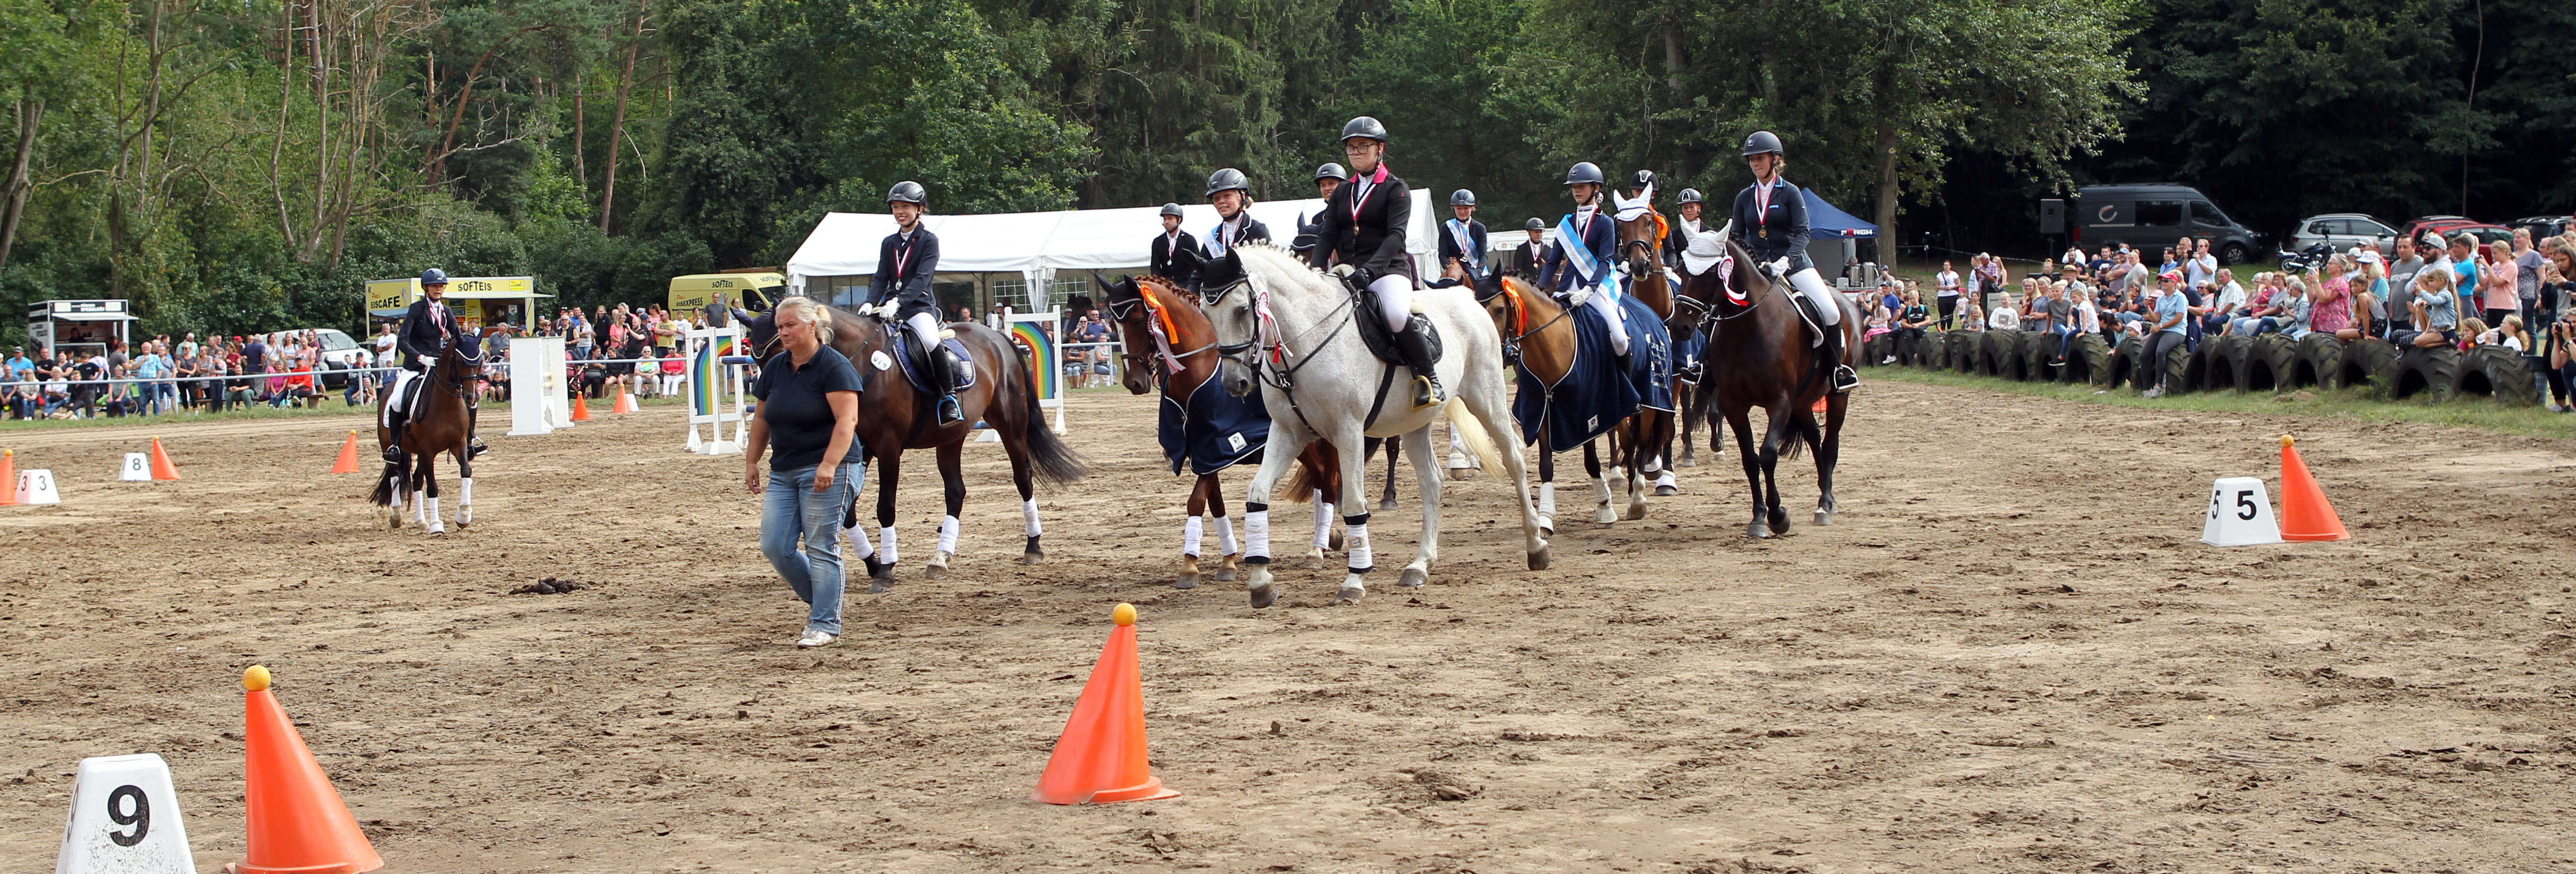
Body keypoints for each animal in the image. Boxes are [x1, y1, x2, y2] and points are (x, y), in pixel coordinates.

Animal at [368, 329, 479, 533]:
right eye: (461, 361)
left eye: (480, 361)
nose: (472, 397)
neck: (446, 404)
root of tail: (387, 388)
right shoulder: (428, 450)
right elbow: (433, 487)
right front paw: (437, 526)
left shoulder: (458, 444)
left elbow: (466, 471)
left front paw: (464, 515)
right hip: (392, 447)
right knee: (395, 475)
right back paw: (397, 516)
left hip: (419, 452)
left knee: (416, 479)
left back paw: (421, 521)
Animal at [742, 301, 1082, 583]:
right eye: (756, 358)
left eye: (784, 347)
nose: (768, 400)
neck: (861, 362)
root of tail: (997, 338)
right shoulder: (858, 450)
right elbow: (847, 511)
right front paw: (873, 563)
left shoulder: (888, 447)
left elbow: (885, 507)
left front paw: (886, 568)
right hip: (951, 437)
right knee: (956, 492)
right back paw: (940, 557)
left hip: (1010, 426)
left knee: (1023, 478)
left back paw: (1033, 547)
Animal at [1097, 273, 1360, 587]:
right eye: (1114, 325)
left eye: (1138, 320)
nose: (1134, 383)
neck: (1198, 367)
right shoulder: (1203, 451)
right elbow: (1216, 505)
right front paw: (1228, 562)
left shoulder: (1218, 447)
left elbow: (1196, 502)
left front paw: (1189, 567)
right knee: (1321, 478)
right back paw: (1329, 538)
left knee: (1329, 481)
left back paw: (1318, 550)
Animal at [1190, 243, 1535, 606]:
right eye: (1206, 313)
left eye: (1242, 310)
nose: (1235, 383)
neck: (1306, 336)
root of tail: (1466, 298)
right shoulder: (1288, 433)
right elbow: (1258, 494)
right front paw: (1260, 582)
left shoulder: (1349, 432)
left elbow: (1355, 503)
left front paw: (1354, 581)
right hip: (1415, 423)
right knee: (1432, 481)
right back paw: (1420, 565)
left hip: (1487, 399)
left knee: (1514, 457)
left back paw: (1536, 544)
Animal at [1669, 224, 1855, 541]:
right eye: (1682, 269)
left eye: (1711, 273)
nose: (1679, 327)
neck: (1749, 326)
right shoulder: (1734, 404)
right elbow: (1750, 459)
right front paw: (1759, 517)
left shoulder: (1779, 401)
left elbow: (1767, 455)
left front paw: (1778, 516)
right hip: (1803, 401)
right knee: (1815, 437)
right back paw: (1822, 495)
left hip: (1836, 395)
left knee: (1830, 444)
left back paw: (1825, 504)